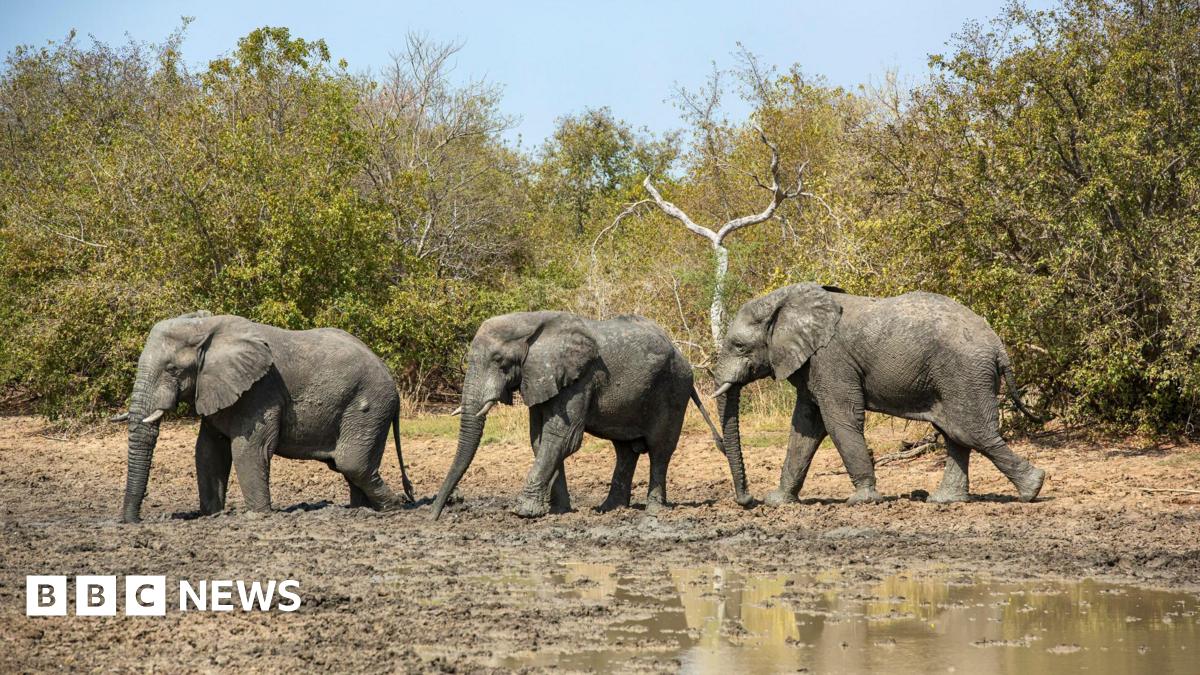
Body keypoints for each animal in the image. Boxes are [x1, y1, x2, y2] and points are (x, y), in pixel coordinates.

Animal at [115, 311, 414, 523]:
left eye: (173, 369)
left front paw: (256, 516)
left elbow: (249, 449)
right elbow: (209, 451)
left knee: (352, 463)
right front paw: (212, 515)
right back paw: (360, 511)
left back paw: (394, 507)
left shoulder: (260, 389)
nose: (133, 521)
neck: (207, 327)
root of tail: (391, 378)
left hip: (369, 406)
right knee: (350, 466)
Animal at [429, 311, 728, 520]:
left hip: (673, 389)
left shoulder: (579, 379)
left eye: (499, 361)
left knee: (659, 449)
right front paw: (558, 510)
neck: (530, 322)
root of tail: (682, 355)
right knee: (625, 451)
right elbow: (540, 440)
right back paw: (610, 509)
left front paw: (523, 512)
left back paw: (653, 510)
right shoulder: (539, 378)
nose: (433, 515)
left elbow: (562, 439)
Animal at [711, 283, 1046, 506]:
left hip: (964, 372)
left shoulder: (830, 358)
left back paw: (1033, 489)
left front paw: (862, 500)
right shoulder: (810, 365)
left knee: (971, 431)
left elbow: (839, 420)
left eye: (739, 346)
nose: (747, 500)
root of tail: (998, 346)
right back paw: (944, 501)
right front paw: (777, 502)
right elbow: (804, 427)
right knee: (955, 432)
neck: (786, 300)